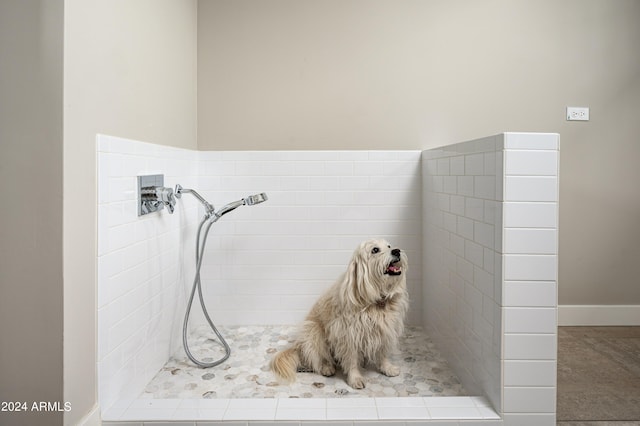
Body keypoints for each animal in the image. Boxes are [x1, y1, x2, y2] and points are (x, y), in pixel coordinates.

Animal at [268, 238, 408, 392]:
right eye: (375, 250)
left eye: (389, 246)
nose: (397, 251)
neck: (375, 300)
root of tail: (297, 347)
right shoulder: (348, 335)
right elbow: (351, 360)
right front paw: (355, 378)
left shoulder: (386, 329)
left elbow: (383, 354)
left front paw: (387, 368)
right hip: (313, 331)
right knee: (316, 358)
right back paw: (326, 367)